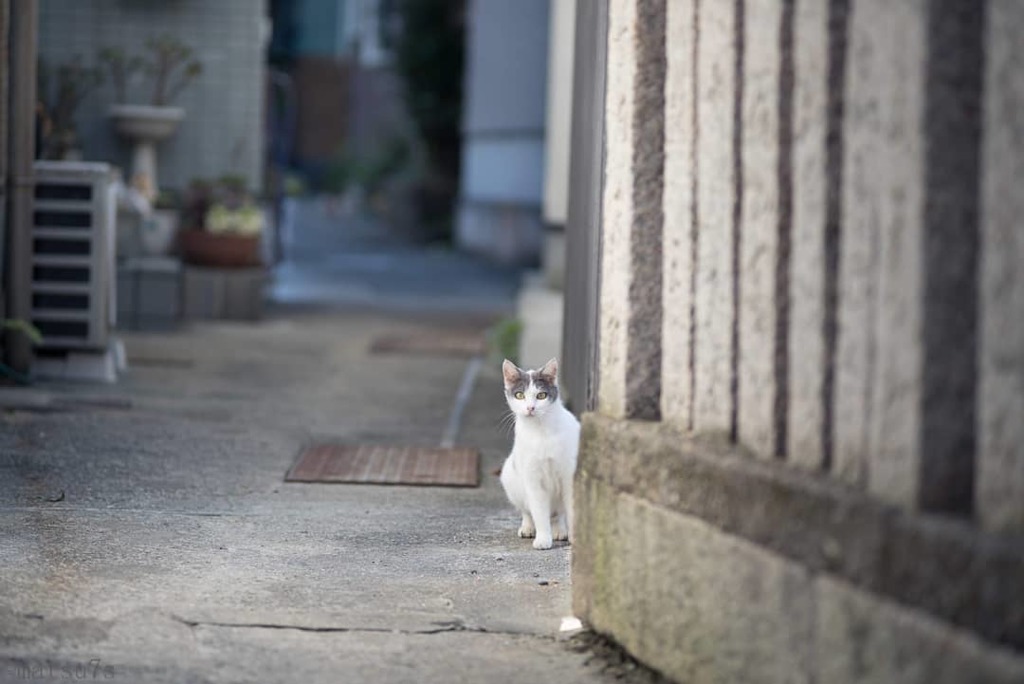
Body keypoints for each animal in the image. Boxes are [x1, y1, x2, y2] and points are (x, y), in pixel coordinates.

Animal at [499, 358, 581, 548]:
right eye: (519, 395)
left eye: (541, 395)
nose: (530, 408)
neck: (541, 431)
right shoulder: (533, 479)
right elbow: (538, 511)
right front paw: (543, 539)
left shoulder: (569, 476)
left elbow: (571, 509)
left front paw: (575, 539)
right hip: (510, 476)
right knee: (528, 511)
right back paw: (528, 528)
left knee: (558, 514)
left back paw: (559, 530)